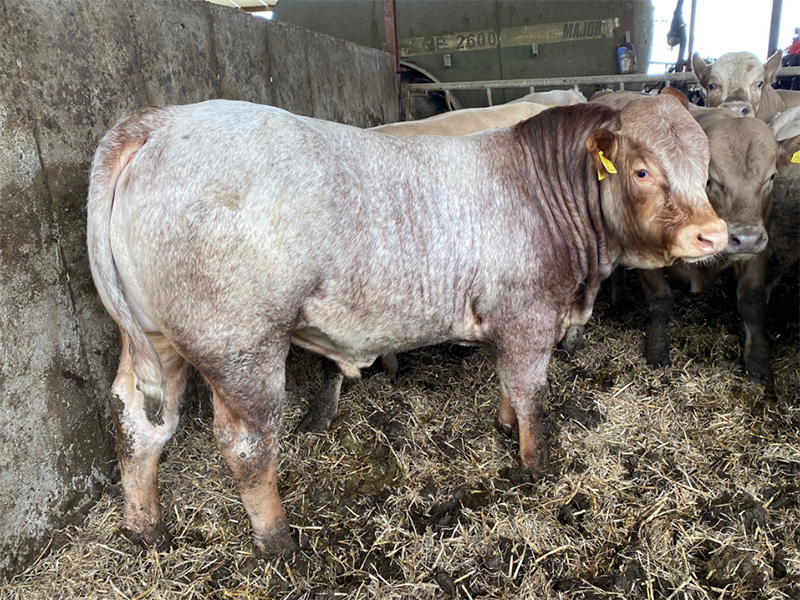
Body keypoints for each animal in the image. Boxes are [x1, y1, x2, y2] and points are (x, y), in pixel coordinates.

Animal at [87, 97, 726, 556]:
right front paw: (537, 467)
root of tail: (156, 121)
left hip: (155, 340)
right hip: (240, 346)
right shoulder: (529, 314)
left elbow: (507, 386)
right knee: (246, 443)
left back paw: (143, 527)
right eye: (641, 170)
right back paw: (278, 542)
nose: (713, 235)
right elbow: (531, 393)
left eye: (706, 170)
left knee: (136, 421)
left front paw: (503, 425)